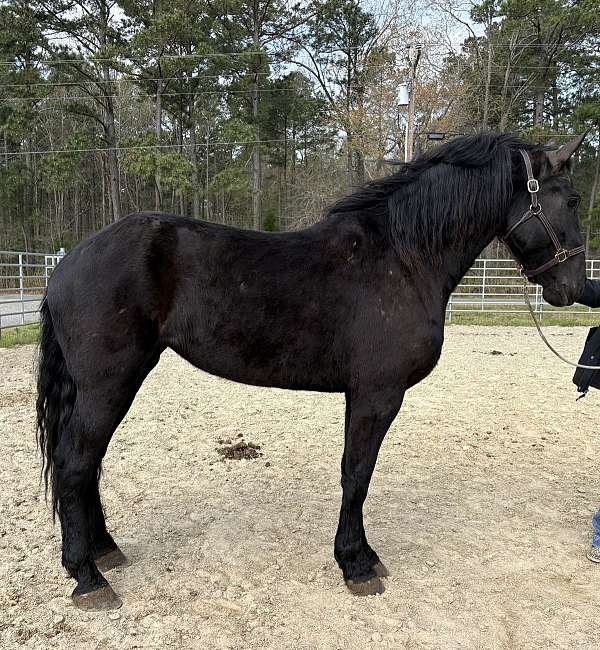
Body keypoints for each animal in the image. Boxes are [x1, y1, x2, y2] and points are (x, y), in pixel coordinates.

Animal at [36, 131, 587, 611]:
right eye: (575, 199)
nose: (573, 287)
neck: (402, 257)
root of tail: (66, 264)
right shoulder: (376, 395)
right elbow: (357, 474)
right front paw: (356, 563)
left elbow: (356, 473)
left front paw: (362, 556)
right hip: (109, 384)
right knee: (75, 462)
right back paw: (88, 577)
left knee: (87, 463)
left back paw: (104, 551)